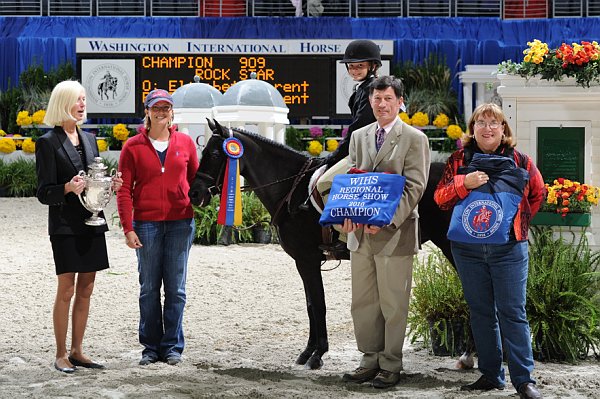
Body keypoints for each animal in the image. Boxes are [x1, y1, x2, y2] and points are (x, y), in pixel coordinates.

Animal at [190, 120, 458, 370]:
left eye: (215, 155)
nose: (194, 193)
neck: (292, 190)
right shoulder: (303, 262)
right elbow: (310, 305)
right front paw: (308, 352)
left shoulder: (307, 260)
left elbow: (318, 305)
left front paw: (317, 355)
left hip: (449, 245)